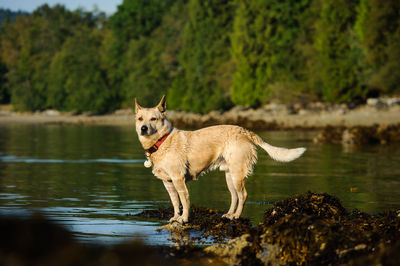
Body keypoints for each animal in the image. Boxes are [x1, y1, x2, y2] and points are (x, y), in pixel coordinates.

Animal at [134, 94, 306, 223]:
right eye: (140, 119)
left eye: (154, 119)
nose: (143, 128)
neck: (161, 141)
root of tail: (245, 131)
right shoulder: (168, 182)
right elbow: (175, 202)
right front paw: (176, 217)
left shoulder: (178, 179)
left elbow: (184, 201)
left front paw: (184, 218)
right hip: (229, 176)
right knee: (234, 196)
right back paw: (229, 214)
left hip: (237, 175)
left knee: (243, 195)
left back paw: (236, 216)